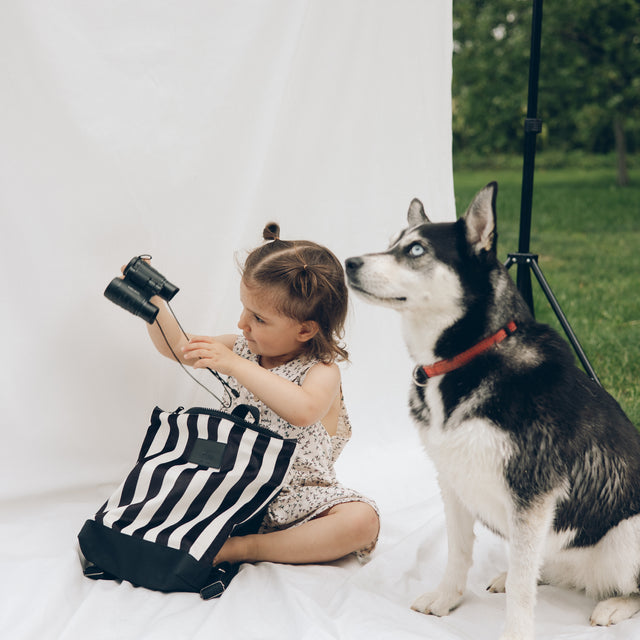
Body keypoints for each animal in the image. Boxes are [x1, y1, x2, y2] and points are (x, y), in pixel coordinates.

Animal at [348, 181, 640, 640]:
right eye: (391, 243)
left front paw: (515, 632)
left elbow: (522, 587)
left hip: (627, 533)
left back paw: (614, 604)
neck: (466, 357)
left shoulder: (532, 494)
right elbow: (458, 551)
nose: (348, 262)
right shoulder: (452, 478)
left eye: (416, 250)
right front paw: (447, 598)